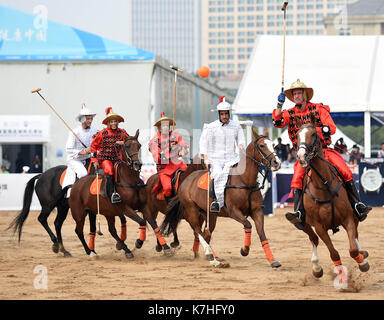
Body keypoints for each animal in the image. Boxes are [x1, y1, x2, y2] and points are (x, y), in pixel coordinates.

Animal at [68, 129, 172, 258]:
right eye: (127, 146)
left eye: (139, 146)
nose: (137, 164)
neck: (130, 181)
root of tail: (76, 184)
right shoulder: (126, 208)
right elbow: (142, 221)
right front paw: (138, 242)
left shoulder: (143, 206)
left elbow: (154, 224)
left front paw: (166, 247)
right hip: (79, 214)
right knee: (79, 231)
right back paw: (90, 251)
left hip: (106, 212)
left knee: (112, 230)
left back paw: (125, 249)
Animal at [160, 129, 280, 268]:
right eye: (262, 145)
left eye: (273, 145)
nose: (277, 162)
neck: (245, 181)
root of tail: (186, 180)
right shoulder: (234, 211)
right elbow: (248, 225)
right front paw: (244, 250)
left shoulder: (257, 211)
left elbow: (262, 234)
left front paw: (273, 260)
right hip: (192, 210)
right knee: (198, 231)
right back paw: (210, 256)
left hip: (210, 215)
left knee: (205, 233)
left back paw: (212, 257)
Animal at [294, 113, 368, 284]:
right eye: (298, 135)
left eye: (313, 134)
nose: (301, 157)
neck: (324, 184)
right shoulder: (320, 227)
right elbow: (333, 252)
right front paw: (341, 276)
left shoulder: (348, 219)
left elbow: (353, 249)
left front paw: (362, 262)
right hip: (305, 224)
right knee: (313, 239)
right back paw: (316, 267)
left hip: (355, 217)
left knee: (356, 238)